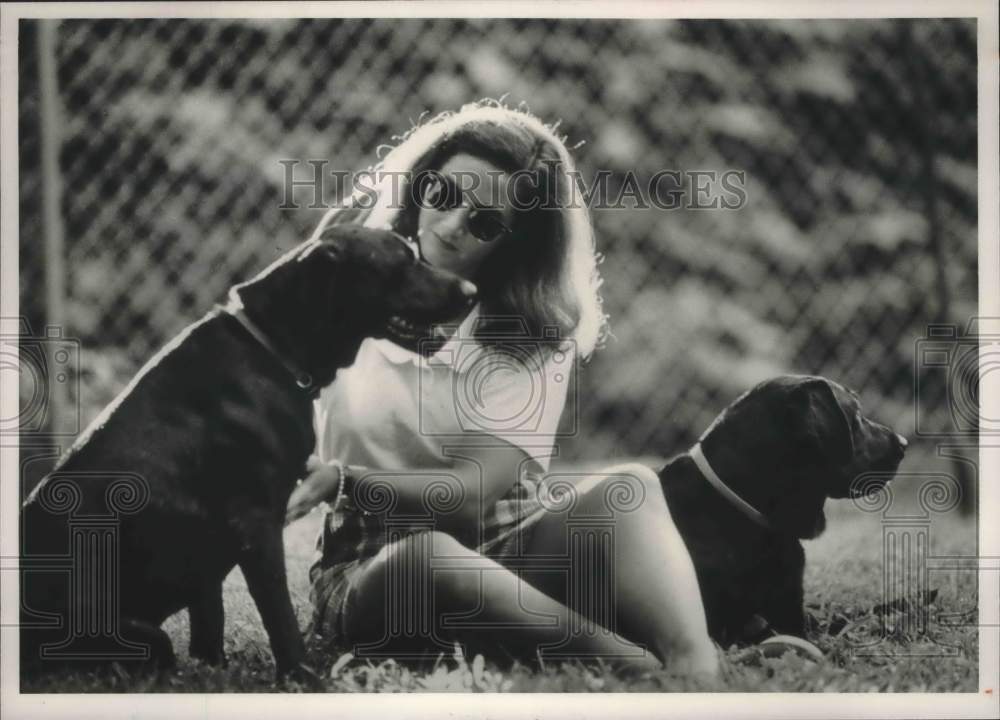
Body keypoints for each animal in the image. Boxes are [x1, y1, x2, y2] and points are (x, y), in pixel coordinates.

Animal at [20, 224, 476, 680]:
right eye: (402, 262)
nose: (472, 291)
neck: (272, 348)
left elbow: (211, 619)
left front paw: (214, 669)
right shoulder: (256, 524)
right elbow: (279, 615)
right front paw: (301, 678)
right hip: (141, 633)